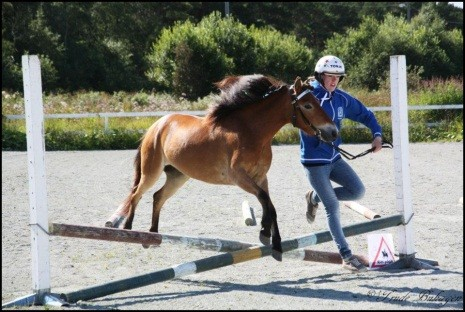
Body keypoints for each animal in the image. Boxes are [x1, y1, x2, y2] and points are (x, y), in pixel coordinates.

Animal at [105, 73, 338, 260]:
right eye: (308, 105)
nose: (333, 132)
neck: (250, 132)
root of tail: (157, 124)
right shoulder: (239, 177)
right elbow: (266, 201)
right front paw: (267, 235)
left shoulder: (261, 177)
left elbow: (270, 205)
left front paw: (274, 242)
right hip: (151, 171)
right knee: (136, 195)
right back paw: (129, 230)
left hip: (178, 176)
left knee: (157, 197)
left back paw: (152, 235)